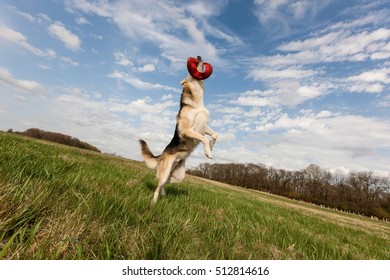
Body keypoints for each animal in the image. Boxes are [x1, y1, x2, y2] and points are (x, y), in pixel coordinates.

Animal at [138, 56, 218, 203]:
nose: (199, 56)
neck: (198, 102)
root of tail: (162, 155)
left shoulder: (203, 127)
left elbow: (215, 135)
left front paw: (211, 146)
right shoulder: (187, 131)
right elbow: (203, 138)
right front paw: (208, 151)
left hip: (178, 176)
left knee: (164, 184)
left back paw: (164, 196)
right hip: (165, 172)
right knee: (158, 185)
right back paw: (153, 202)